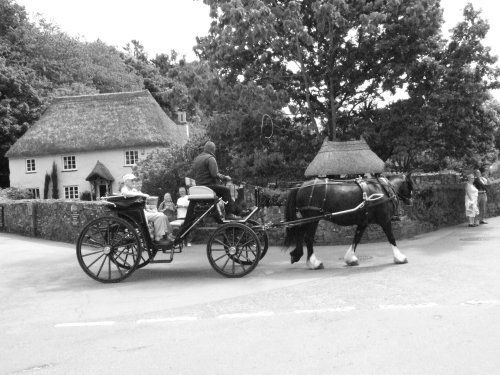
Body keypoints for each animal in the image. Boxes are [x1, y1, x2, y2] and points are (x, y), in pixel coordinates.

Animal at [284, 176, 412, 270]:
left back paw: (297, 255)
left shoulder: (363, 222)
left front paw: (351, 259)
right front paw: (400, 257)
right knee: (308, 237)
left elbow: (356, 238)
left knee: (299, 232)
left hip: (308, 219)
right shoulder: (384, 220)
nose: (411, 200)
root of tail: (301, 186)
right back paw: (314, 263)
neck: (383, 191)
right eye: (410, 185)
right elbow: (391, 238)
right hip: (313, 218)